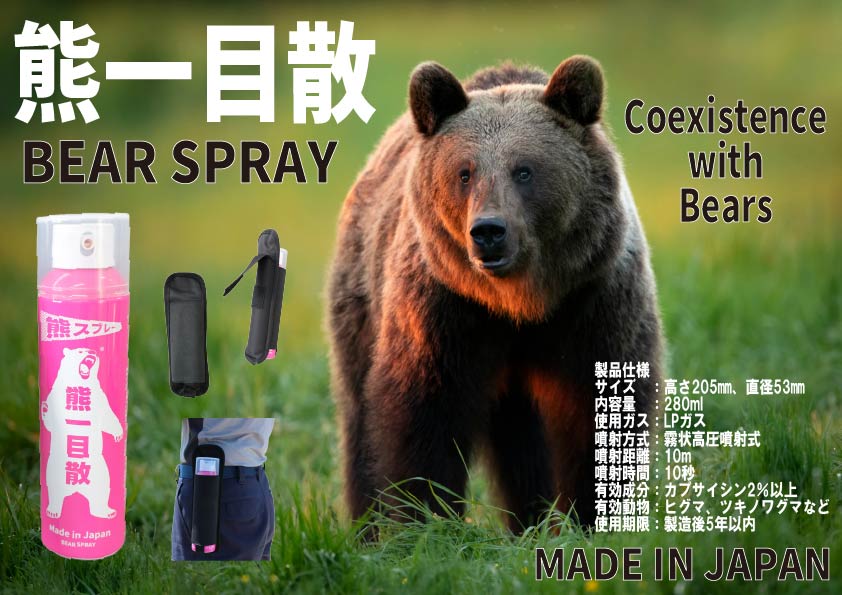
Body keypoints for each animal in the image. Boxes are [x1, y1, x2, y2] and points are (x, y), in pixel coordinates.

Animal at [42, 347, 123, 519]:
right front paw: (44, 408)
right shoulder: (54, 394)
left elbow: (108, 418)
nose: (93, 352)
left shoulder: (101, 399)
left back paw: (107, 512)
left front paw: (118, 434)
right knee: (54, 491)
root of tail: (77, 490)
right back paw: (53, 511)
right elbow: (51, 423)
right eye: (80, 351)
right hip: (53, 471)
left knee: (101, 495)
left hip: (102, 474)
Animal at [327, 55, 663, 531]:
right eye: (464, 172)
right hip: (362, 301)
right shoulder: (445, 309)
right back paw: (367, 527)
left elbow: (600, 409)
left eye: (524, 169)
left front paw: (589, 518)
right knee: (359, 416)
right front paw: (424, 521)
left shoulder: (594, 300)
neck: (521, 303)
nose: (488, 231)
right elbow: (424, 412)